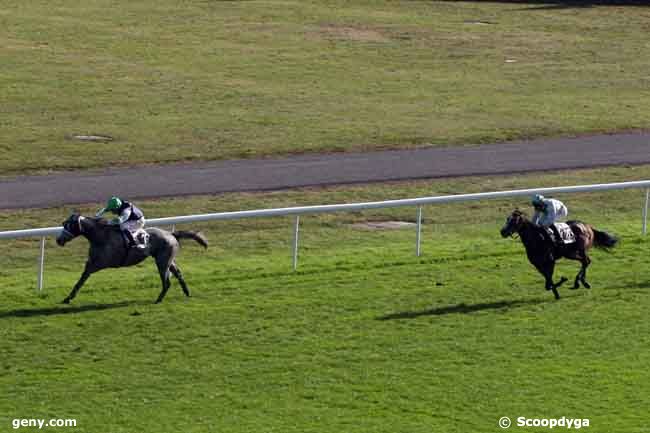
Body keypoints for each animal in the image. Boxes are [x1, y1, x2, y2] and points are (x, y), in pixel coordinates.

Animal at [56, 213, 208, 302]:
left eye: (69, 225)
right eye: (64, 223)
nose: (59, 240)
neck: (101, 236)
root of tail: (171, 234)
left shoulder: (99, 263)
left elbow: (83, 278)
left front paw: (68, 298)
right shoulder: (92, 262)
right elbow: (81, 278)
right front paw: (68, 297)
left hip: (162, 262)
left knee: (167, 282)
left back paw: (158, 299)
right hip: (168, 260)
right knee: (178, 274)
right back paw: (187, 292)